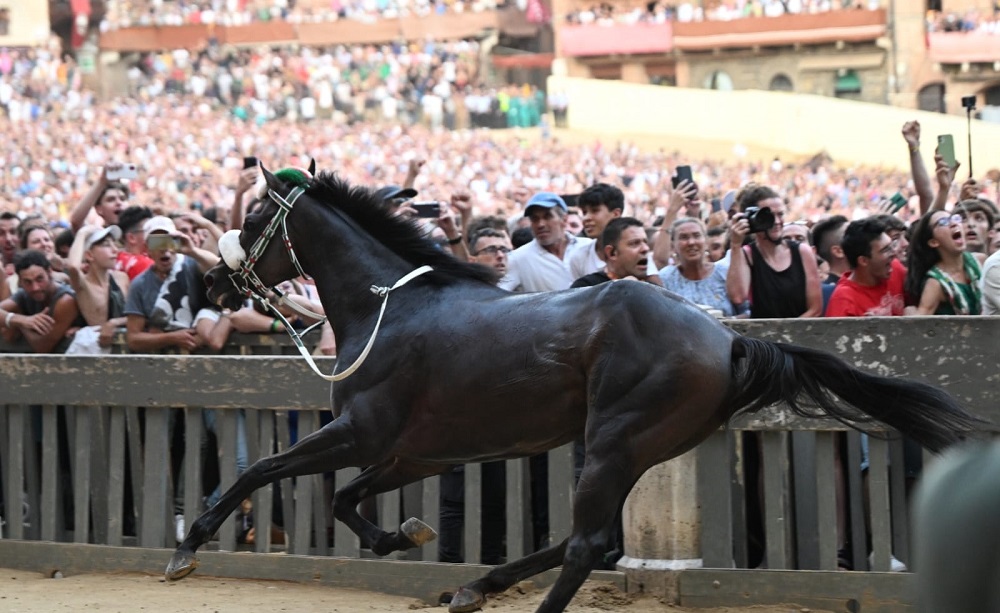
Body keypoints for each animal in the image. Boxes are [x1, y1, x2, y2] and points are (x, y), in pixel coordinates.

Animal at [168, 165, 980, 608]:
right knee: (597, 540)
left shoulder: (363, 432)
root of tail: (729, 336)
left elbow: (261, 468)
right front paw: (402, 534)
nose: (214, 281)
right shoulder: (417, 451)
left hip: (617, 437)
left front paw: (188, 545)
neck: (389, 306)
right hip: (631, 445)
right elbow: (344, 499)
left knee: (592, 541)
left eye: (252, 216)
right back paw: (478, 585)